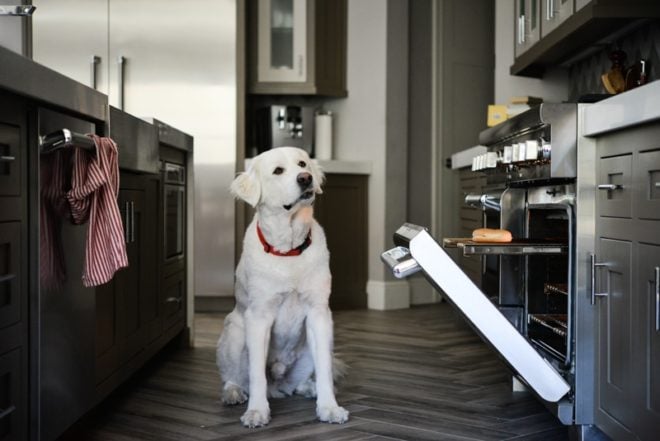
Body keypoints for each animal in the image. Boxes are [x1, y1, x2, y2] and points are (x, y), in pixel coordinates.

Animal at [218, 147, 350, 426]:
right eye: (278, 170)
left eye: (302, 164)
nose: (305, 178)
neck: (289, 250)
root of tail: (278, 385)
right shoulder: (258, 317)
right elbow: (256, 375)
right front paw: (257, 411)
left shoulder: (320, 314)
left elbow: (325, 369)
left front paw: (329, 407)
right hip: (235, 334)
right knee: (234, 377)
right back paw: (233, 393)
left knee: (299, 382)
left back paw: (310, 388)